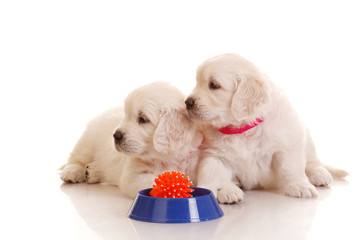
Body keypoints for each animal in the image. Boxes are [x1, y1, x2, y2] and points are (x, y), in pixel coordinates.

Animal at [60, 81, 204, 198]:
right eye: (126, 115)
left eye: (143, 119)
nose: (115, 135)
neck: (167, 157)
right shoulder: (133, 176)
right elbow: (154, 182)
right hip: (88, 140)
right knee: (76, 159)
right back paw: (72, 172)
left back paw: (93, 171)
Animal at [184, 53, 348, 203]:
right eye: (197, 82)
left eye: (214, 85)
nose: (187, 102)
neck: (242, 130)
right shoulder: (214, 154)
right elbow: (209, 171)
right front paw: (209, 189)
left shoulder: (286, 143)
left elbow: (291, 166)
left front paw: (300, 186)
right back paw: (230, 189)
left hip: (306, 137)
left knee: (313, 161)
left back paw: (318, 174)